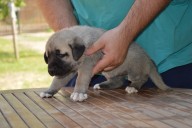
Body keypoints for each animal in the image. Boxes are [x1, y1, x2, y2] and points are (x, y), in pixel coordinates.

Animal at [40, 25, 170, 101]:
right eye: (47, 57)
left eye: (61, 54)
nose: (51, 71)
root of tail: (149, 60)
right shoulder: (66, 70)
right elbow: (57, 81)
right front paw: (49, 91)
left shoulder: (86, 65)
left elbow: (81, 79)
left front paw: (78, 93)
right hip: (111, 71)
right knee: (118, 81)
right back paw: (102, 85)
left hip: (134, 69)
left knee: (141, 78)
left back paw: (133, 87)